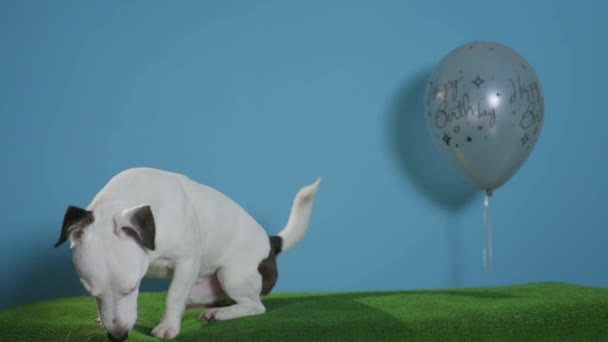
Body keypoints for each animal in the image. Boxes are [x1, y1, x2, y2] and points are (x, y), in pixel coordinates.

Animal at [54, 167, 320, 340]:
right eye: (92, 294)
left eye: (132, 288)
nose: (118, 336)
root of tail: (271, 242)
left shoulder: (187, 261)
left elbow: (173, 295)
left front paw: (168, 326)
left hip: (232, 275)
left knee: (254, 305)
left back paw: (221, 313)